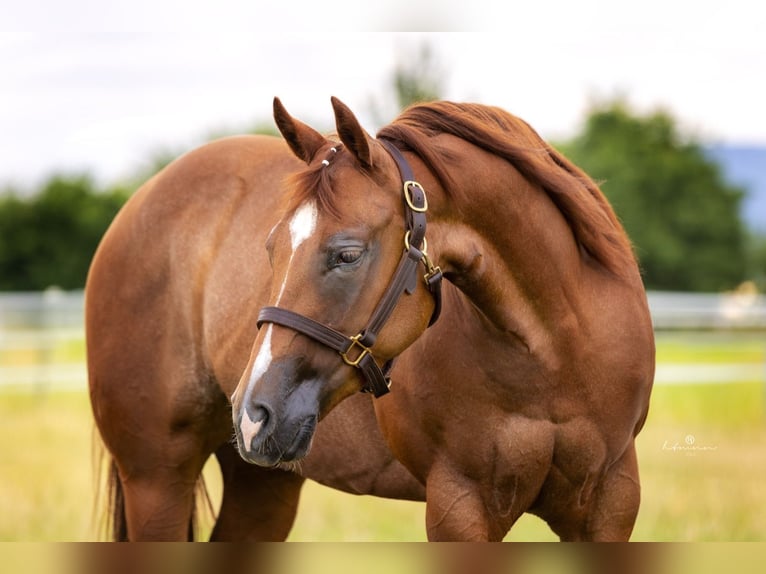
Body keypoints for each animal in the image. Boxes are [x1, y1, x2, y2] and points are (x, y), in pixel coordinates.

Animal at [88, 97, 656, 544]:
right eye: (271, 248)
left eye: (347, 254)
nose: (252, 413)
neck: (554, 351)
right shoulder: (459, 508)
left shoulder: (610, 504)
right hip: (156, 477)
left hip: (263, 483)